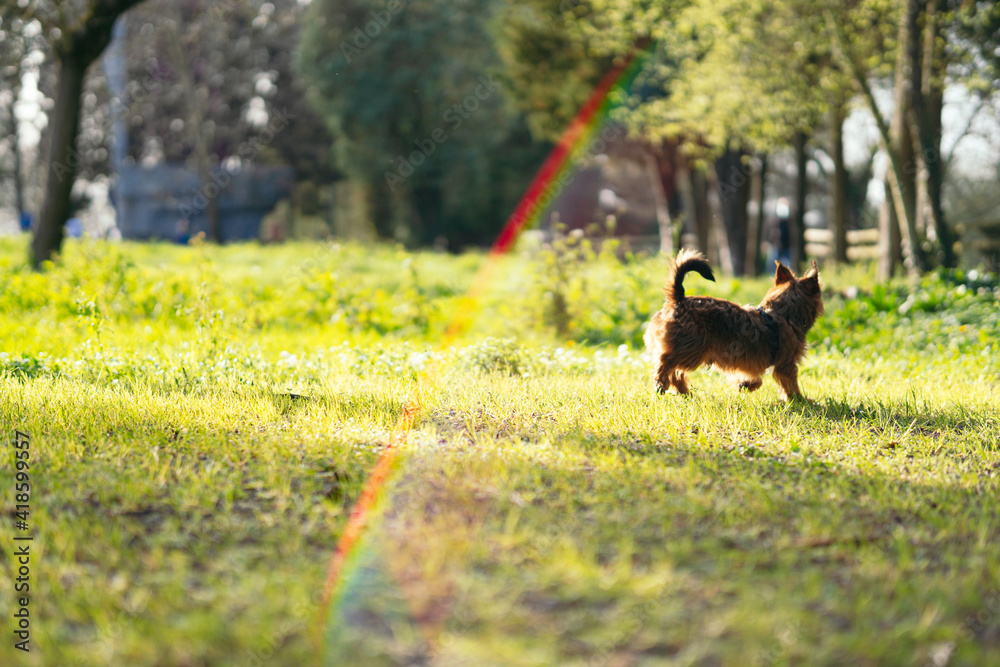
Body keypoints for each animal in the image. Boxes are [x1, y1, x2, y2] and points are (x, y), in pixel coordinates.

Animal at [644, 248, 824, 400]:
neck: (782, 314)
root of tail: (678, 299)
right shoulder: (786, 364)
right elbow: (791, 383)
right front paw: (799, 400)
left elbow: (756, 380)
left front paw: (745, 385)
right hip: (692, 348)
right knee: (666, 360)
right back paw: (660, 383)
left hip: (690, 351)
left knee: (676, 372)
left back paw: (684, 392)